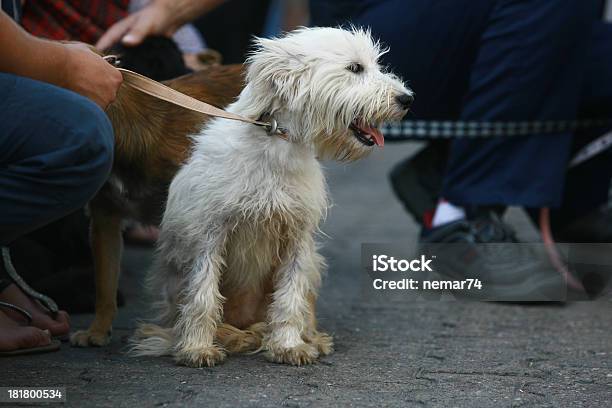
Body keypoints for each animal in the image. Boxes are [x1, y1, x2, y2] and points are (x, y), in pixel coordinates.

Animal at [131, 27, 414, 366]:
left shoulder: (297, 237)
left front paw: (288, 345)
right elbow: (203, 292)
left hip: (312, 264)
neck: (277, 141)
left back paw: (308, 338)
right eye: (355, 68)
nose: (407, 99)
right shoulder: (209, 235)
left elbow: (289, 297)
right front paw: (197, 348)